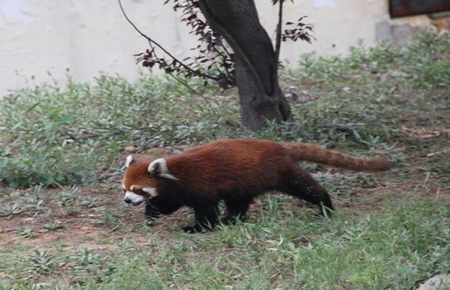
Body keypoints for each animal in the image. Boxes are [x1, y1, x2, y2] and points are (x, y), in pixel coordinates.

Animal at [121, 139, 392, 233]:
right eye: (125, 189)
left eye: (137, 189)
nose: (126, 201)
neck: (174, 172)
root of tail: (280, 146)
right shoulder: (176, 190)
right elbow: (168, 204)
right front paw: (151, 213)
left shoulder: (200, 186)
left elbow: (205, 210)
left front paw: (197, 228)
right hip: (243, 182)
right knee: (238, 202)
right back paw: (233, 219)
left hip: (282, 173)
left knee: (307, 187)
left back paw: (325, 206)